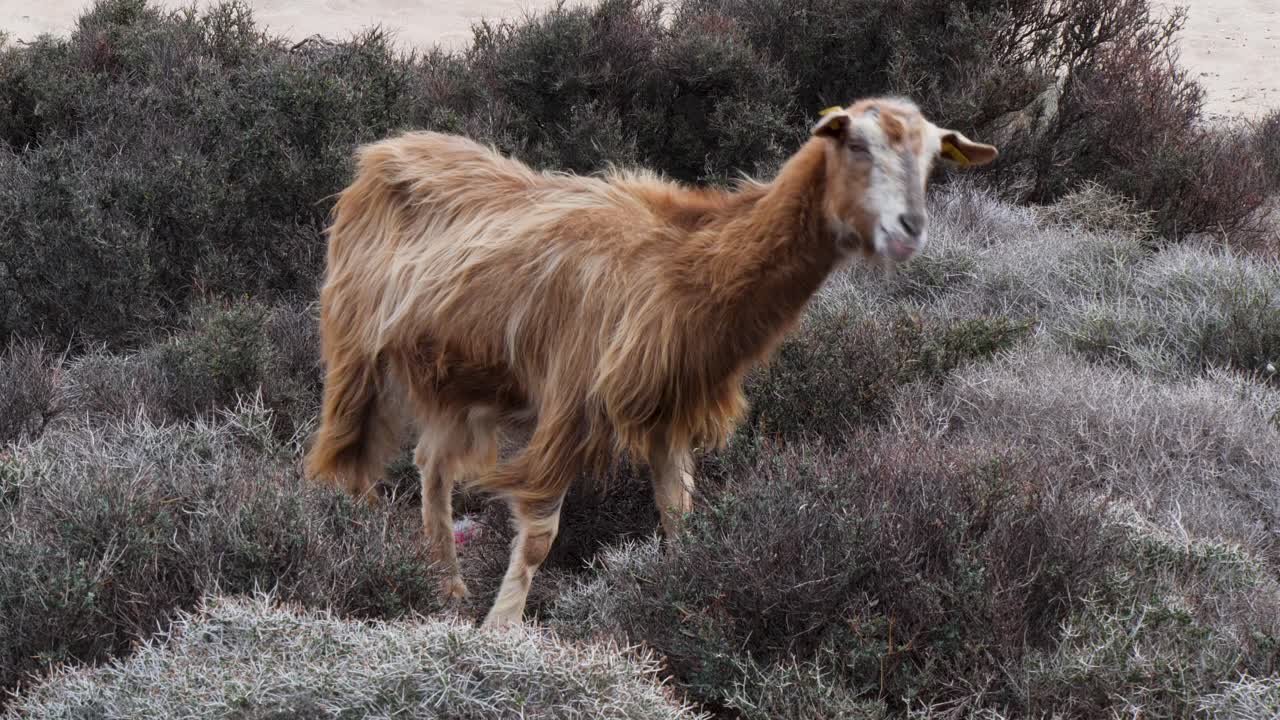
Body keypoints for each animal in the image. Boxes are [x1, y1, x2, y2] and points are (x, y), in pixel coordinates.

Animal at [306, 97, 998, 627]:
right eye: (856, 145)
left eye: (934, 160)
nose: (909, 229)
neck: (683, 265)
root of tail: (380, 152)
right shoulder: (573, 396)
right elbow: (539, 538)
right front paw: (501, 631)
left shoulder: (670, 410)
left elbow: (679, 516)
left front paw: (679, 601)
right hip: (356, 348)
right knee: (350, 463)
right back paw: (359, 552)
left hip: (462, 374)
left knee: (431, 465)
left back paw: (446, 586)